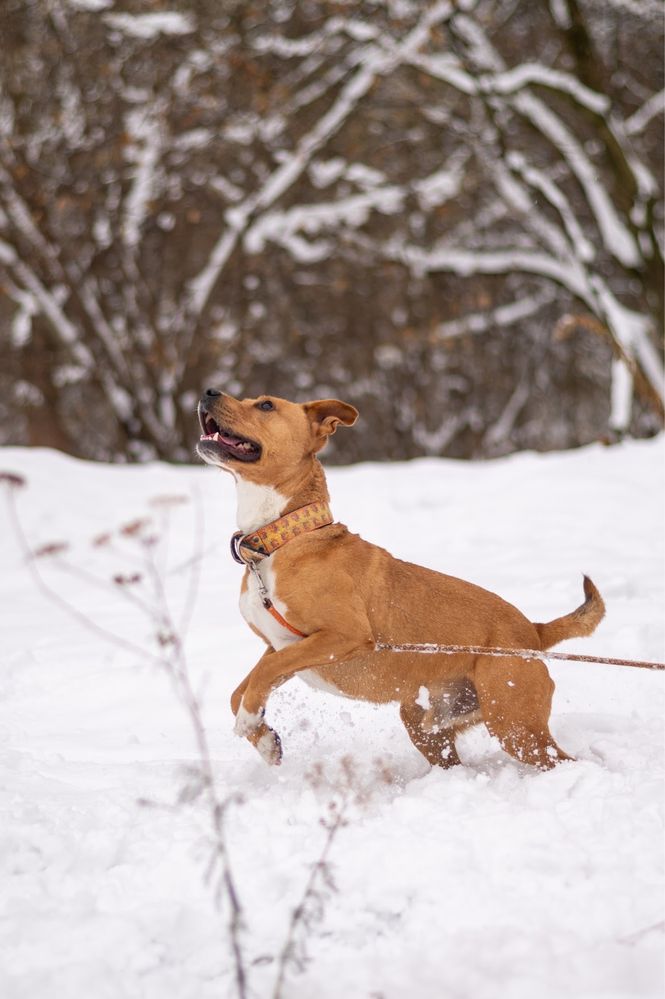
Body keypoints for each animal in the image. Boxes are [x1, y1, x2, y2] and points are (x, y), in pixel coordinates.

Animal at [195, 390, 604, 772]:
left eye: (265, 405)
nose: (209, 392)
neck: (283, 539)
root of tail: (532, 631)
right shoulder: (281, 646)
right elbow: (242, 690)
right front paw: (264, 739)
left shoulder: (343, 636)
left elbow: (260, 677)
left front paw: (250, 722)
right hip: (428, 722)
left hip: (515, 724)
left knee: (560, 760)